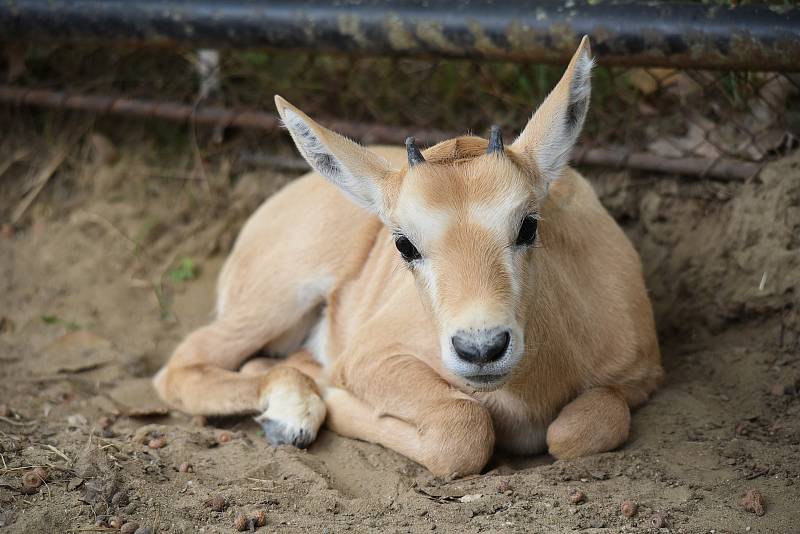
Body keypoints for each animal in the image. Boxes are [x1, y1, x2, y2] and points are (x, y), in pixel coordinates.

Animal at [155, 39, 664, 480]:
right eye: (404, 244)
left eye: (528, 225)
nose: (482, 349)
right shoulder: (370, 358)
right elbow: (463, 430)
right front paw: (329, 394)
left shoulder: (639, 376)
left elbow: (579, 429)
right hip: (278, 297)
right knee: (181, 364)